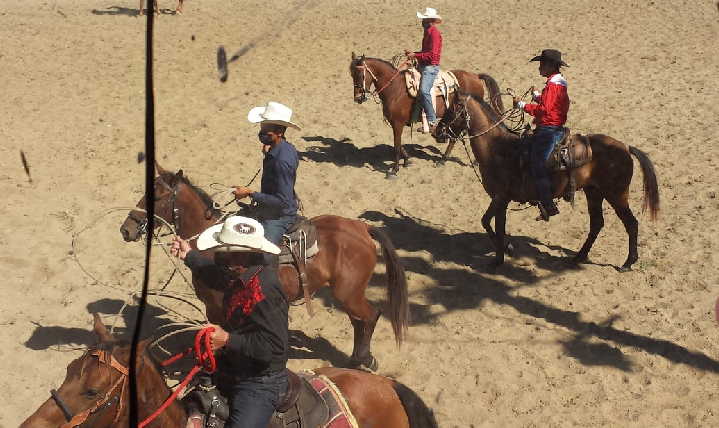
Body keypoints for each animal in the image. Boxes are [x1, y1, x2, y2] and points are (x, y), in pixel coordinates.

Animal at [121, 166, 408, 370]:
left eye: (157, 196)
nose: (126, 229)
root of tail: (362, 228)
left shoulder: (218, 310)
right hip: (348, 294)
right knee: (359, 321)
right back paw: (356, 359)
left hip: (348, 293)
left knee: (370, 317)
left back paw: (365, 360)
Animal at [348, 53, 500, 176]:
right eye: (351, 75)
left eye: (360, 75)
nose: (358, 98)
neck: (395, 89)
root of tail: (475, 76)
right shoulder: (395, 124)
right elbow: (399, 144)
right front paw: (407, 160)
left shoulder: (397, 123)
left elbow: (396, 146)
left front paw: (394, 170)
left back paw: (453, 160)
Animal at [430, 89, 660, 270]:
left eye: (452, 109)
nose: (437, 132)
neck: (497, 149)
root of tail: (625, 147)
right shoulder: (501, 200)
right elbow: (496, 225)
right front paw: (502, 254)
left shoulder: (500, 197)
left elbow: (486, 221)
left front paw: (504, 251)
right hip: (594, 192)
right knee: (597, 224)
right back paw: (579, 256)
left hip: (616, 194)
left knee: (631, 223)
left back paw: (628, 263)